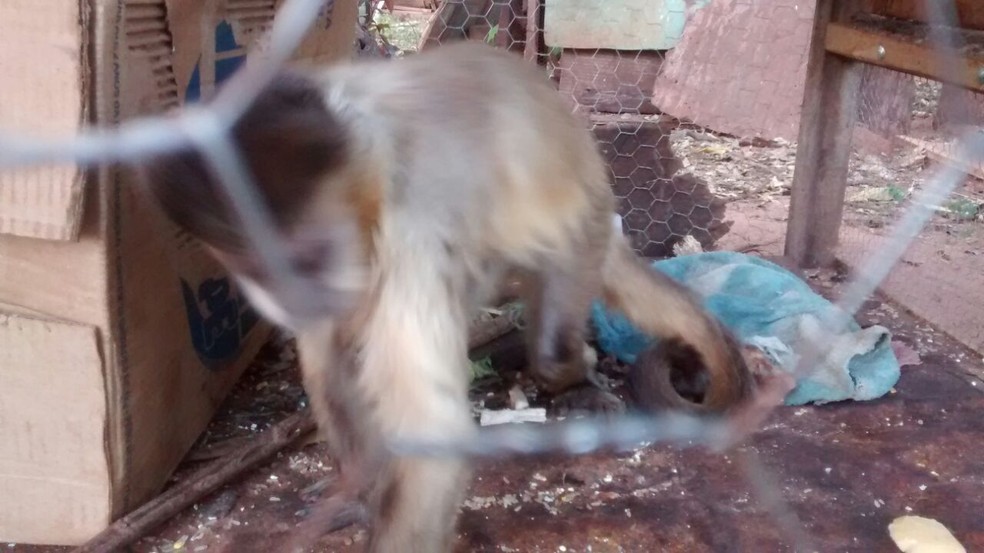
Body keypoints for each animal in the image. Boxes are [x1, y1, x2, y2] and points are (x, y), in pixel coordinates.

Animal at [133, 41, 755, 552]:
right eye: (255, 270)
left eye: (304, 260)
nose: (294, 299)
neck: (373, 157)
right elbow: (331, 364)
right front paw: (360, 495)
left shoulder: (412, 228)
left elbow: (428, 428)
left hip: (588, 227)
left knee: (549, 318)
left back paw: (572, 370)